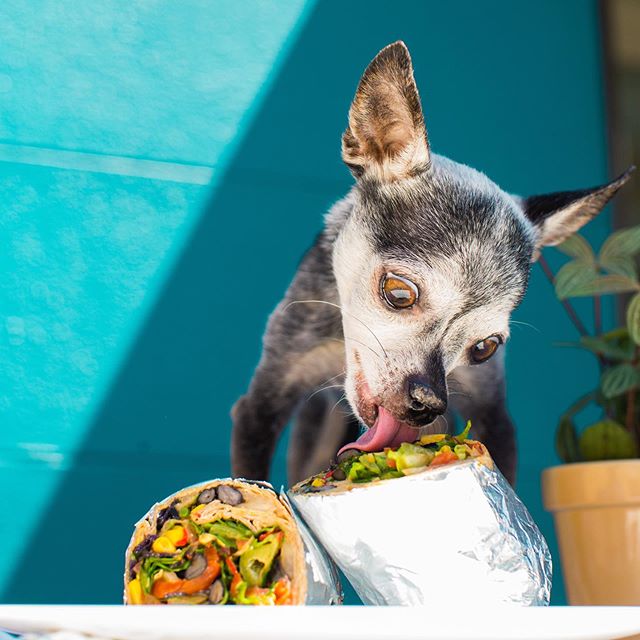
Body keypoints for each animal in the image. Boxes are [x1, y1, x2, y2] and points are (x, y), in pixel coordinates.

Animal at [229, 41, 632, 484]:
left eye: (485, 348)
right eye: (399, 293)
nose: (428, 402)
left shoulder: (493, 416)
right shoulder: (263, 403)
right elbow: (252, 473)